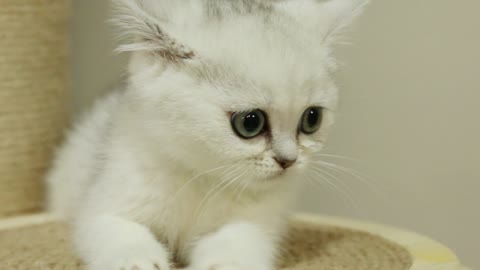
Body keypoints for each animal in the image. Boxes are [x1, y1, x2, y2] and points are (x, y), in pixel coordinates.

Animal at [47, 0, 368, 270]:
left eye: (312, 119)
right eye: (250, 123)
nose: (288, 160)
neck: (202, 178)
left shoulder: (255, 224)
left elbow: (235, 247)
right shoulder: (105, 203)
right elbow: (120, 233)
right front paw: (138, 261)